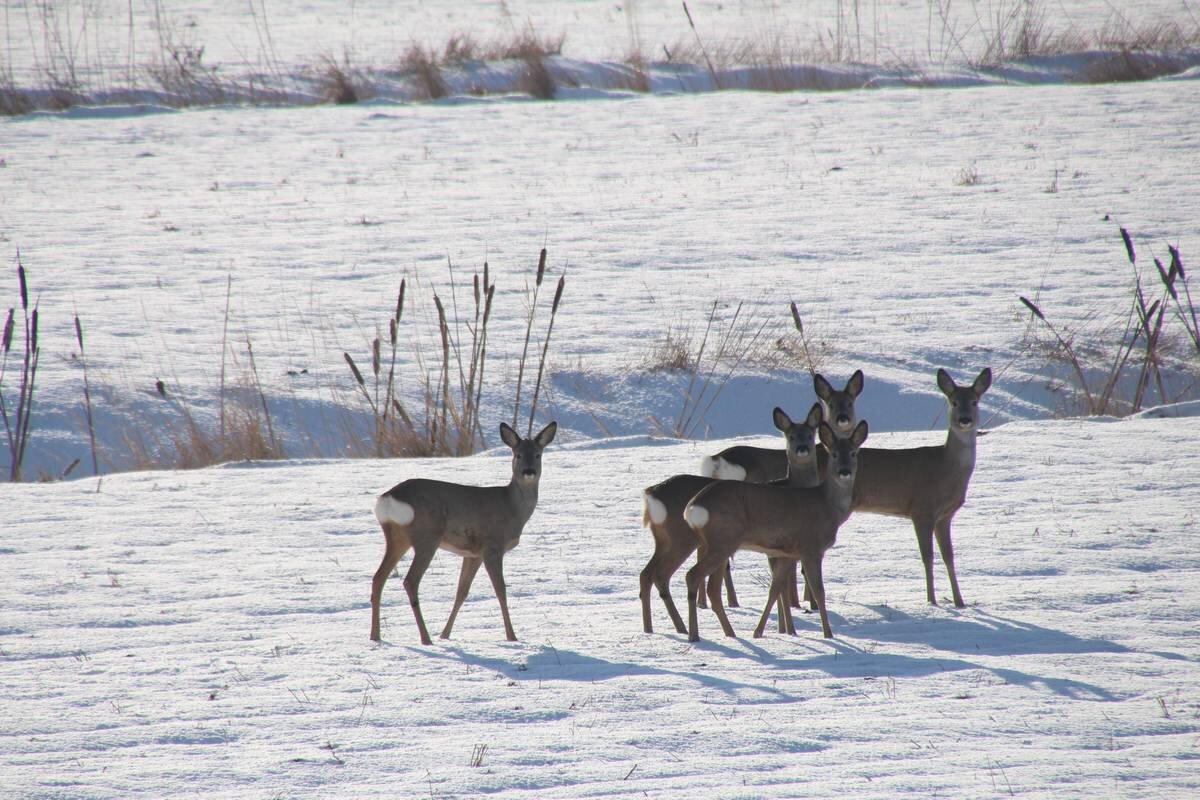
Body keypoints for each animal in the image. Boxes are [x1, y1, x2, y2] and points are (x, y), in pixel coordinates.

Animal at [369, 419, 556, 642]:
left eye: (538, 454)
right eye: (517, 454)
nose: (529, 471)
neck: (511, 508)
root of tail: (388, 498)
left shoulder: (473, 553)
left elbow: (462, 591)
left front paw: (445, 634)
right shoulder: (492, 546)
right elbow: (500, 590)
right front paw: (512, 637)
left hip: (396, 537)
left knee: (378, 578)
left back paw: (375, 636)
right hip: (427, 536)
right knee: (410, 581)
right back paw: (425, 638)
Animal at [638, 402, 825, 633]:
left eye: (810, 434)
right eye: (790, 436)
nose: (802, 449)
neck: (793, 486)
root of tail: (652, 493)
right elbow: (782, 583)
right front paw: (788, 629)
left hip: (663, 538)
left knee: (646, 574)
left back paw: (656, 628)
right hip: (682, 538)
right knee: (663, 575)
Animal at [681, 422, 868, 642]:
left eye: (854, 453)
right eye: (834, 454)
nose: (844, 471)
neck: (827, 505)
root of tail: (692, 506)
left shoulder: (788, 553)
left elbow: (775, 589)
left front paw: (759, 632)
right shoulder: (811, 548)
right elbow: (819, 592)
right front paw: (828, 634)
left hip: (717, 543)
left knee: (710, 587)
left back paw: (728, 633)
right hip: (723, 540)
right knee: (693, 576)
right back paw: (695, 635)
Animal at [854, 367, 993, 606]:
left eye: (974, 401)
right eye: (953, 402)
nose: (965, 419)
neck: (946, 469)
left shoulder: (944, 516)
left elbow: (949, 555)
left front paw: (959, 601)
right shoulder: (921, 509)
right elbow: (927, 556)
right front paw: (931, 600)